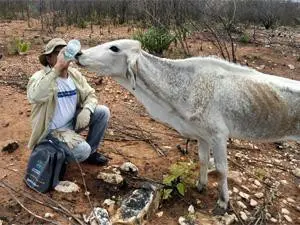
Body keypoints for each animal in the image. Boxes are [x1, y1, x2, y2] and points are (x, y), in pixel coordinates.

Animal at [78, 39, 300, 214]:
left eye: (114, 48)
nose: (79, 53)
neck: (186, 85)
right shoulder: (202, 136)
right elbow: (203, 160)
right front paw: (201, 185)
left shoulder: (219, 136)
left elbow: (221, 169)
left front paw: (223, 202)